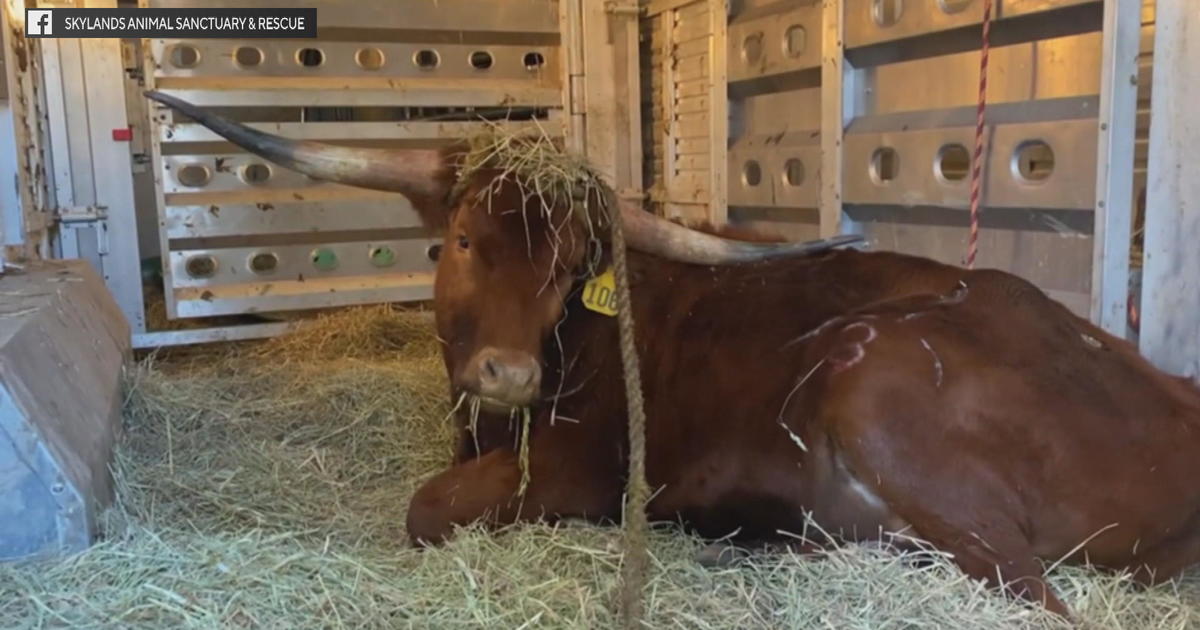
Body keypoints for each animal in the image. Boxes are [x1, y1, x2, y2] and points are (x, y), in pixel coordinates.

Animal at [146, 90, 1200, 620]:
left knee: (1041, 598)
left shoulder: (578, 471)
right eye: (460, 241)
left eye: (572, 265)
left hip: (876, 376)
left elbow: (427, 508)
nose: (512, 375)